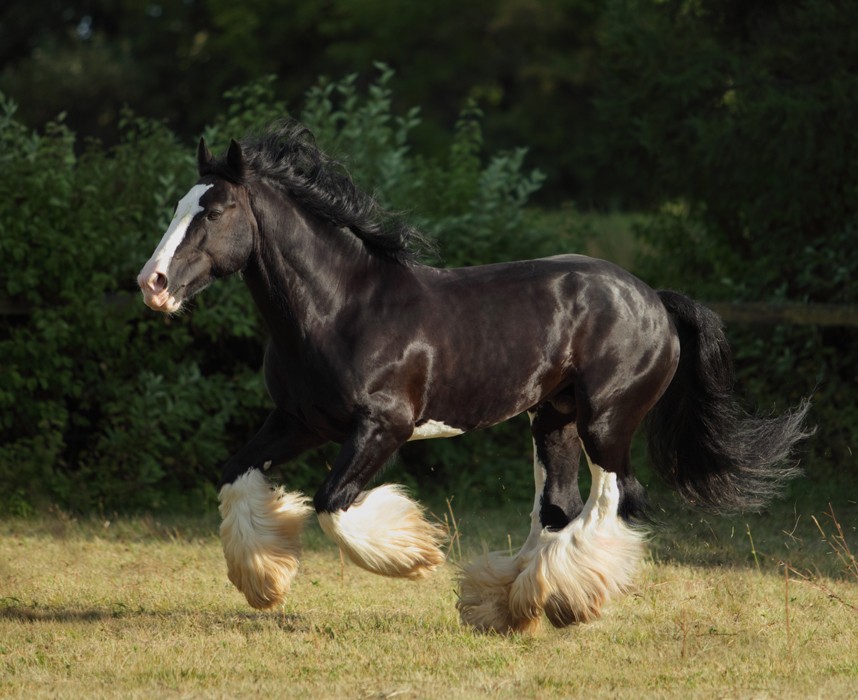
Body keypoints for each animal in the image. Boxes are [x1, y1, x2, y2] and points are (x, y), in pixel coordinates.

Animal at [137, 121, 804, 636]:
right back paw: (513, 605)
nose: (153, 284)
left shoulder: (383, 427)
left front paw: (415, 556)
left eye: (215, 210)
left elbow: (332, 504)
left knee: (613, 500)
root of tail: (655, 301)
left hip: (607, 422)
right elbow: (236, 476)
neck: (341, 308)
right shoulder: (300, 421)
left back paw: (565, 601)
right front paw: (265, 584)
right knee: (557, 508)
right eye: (177, 207)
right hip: (553, 420)